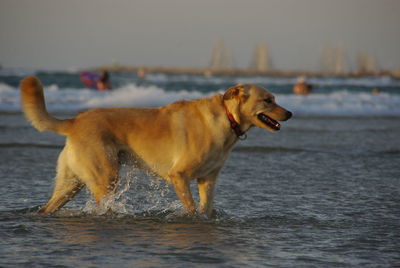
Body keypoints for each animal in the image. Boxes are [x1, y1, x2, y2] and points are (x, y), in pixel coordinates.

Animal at [20, 76, 292, 219]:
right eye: (268, 100)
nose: (289, 113)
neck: (227, 117)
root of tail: (75, 121)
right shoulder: (179, 175)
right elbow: (192, 208)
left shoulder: (208, 179)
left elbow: (206, 209)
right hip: (106, 177)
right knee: (102, 205)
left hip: (71, 183)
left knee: (48, 206)